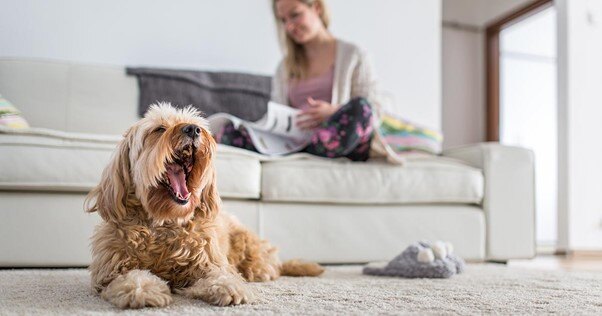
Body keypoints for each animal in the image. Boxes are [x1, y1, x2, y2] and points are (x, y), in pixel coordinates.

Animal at [84, 103, 324, 308]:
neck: (164, 221)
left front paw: (230, 287)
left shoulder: (210, 261)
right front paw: (143, 290)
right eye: (159, 129)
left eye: (195, 124)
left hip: (250, 248)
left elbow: (222, 275)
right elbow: (130, 277)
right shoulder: (110, 271)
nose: (192, 130)